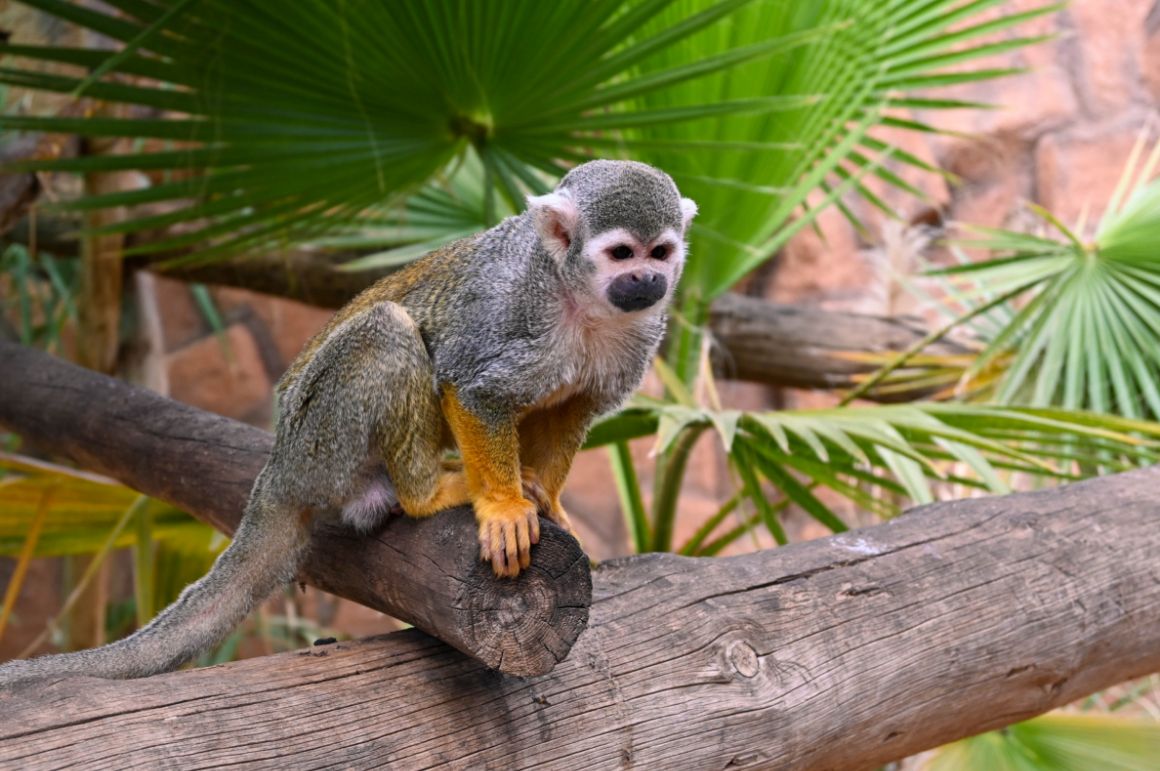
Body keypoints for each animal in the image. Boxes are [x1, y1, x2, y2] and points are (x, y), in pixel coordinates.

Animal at [0, 158, 691, 681]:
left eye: (660, 251)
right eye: (620, 253)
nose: (647, 279)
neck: (577, 297)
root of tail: (278, 463)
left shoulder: (638, 335)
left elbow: (574, 406)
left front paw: (544, 497)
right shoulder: (511, 307)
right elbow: (472, 386)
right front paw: (503, 506)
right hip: (321, 437)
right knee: (387, 331)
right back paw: (425, 492)